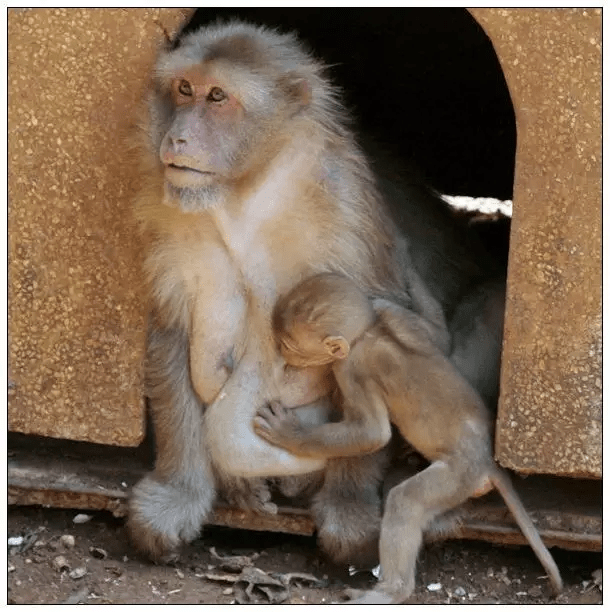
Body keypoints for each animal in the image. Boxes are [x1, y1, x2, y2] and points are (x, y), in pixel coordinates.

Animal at [127, 21, 504, 568]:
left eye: (217, 96)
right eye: (183, 89)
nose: (177, 136)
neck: (245, 198)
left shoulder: (344, 215)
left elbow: (377, 339)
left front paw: (350, 508)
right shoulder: (170, 230)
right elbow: (172, 337)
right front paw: (178, 493)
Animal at [252, 274, 560, 604]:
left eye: (288, 345)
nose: (282, 355)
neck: (368, 331)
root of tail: (488, 461)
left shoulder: (351, 369)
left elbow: (373, 434)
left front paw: (288, 432)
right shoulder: (390, 312)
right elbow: (440, 339)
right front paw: (414, 280)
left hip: (459, 475)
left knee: (406, 501)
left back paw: (390, 591)